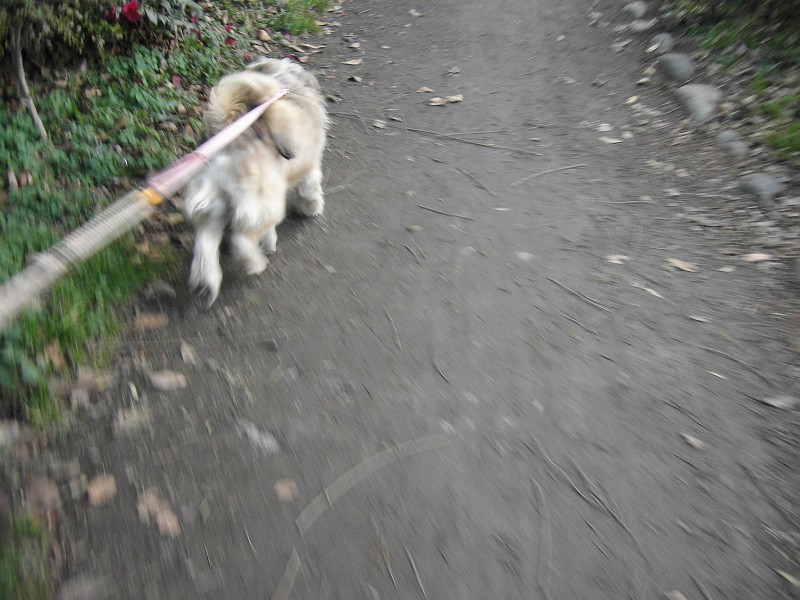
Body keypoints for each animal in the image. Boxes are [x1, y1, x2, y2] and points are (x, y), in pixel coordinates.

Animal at [184, 58, 328, 306]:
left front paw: (269, 241)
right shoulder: (310, 169)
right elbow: (310, 190)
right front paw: (311, 208)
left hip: (213, 205)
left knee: (206, 242)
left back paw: (206, 281)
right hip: (263, 204)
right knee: (240, 239)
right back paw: (254, 263)